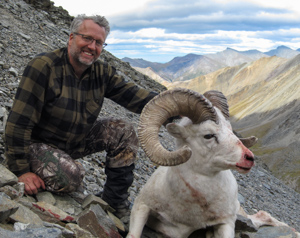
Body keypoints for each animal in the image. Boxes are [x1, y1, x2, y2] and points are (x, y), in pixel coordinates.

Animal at [126, 88, 290, 238]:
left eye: (230, 130)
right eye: (208, 135)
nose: (249, 158)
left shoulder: (227, 223)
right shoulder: (142, 206)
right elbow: (134, 234)